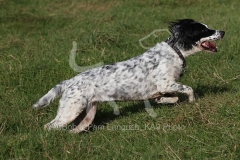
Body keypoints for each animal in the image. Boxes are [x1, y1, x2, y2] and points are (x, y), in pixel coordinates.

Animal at [33, 19, 225, 133]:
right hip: (70, 111)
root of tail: (68, 82)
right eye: (204, 30)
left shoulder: (162, 89)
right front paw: (192, 101)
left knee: (72, 130)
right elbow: (189, 89)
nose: (223, 31)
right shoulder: (165, 83)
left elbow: (170, 97)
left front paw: (168, 100)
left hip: (86, 116)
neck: (175, 50)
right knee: (48, 127)